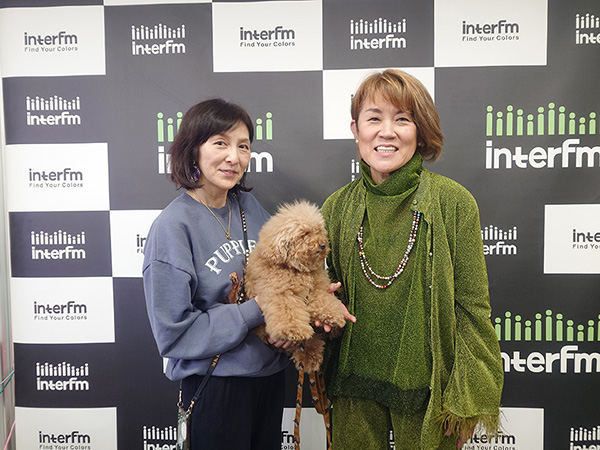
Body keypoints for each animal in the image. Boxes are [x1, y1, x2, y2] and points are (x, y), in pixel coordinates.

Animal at [244, 200, 347, 373]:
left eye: (318, 231)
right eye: (304, 234)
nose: (323, 244)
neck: (297, 269)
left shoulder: (317, 288)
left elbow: (324, 302)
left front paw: (333, 316)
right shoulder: (282, 294)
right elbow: (289, 314)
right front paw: (293, 331)